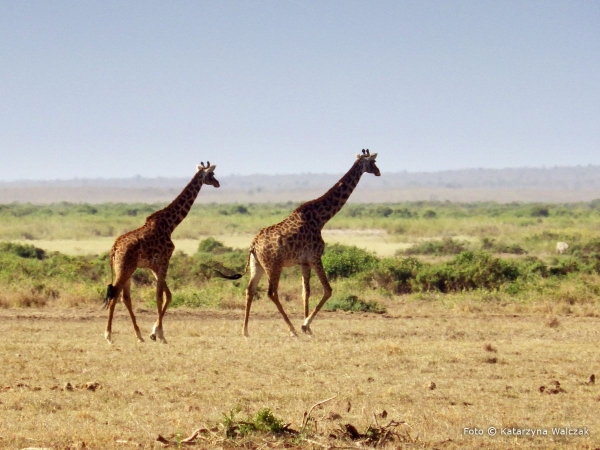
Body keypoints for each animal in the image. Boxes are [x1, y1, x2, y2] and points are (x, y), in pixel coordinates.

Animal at [103, 162, 220, 344]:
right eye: (211, 174)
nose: (217, 183)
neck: (170, 224)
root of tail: (114, 248)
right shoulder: (165, 260)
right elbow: (160, 296)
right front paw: (160, 334)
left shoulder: (155, 266)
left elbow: (168, 295)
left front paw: (154, 332)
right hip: (125, 268)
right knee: (115, 295)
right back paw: (109, 336)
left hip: (125, 269)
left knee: (125, 297)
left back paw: (139, 335)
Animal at [216, 151, 380, 338]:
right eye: (373, 161)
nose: (378, 172)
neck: (321, 218)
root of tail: (253, 245)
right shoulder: (315, 257)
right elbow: (328, 290)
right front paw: (304, 325)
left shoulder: (304, 262)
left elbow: (305, 292)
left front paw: (308, 327)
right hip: (274, 265)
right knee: (271, 292)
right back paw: (292, 329)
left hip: (256, 265)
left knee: (250, 290)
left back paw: (245, 330)